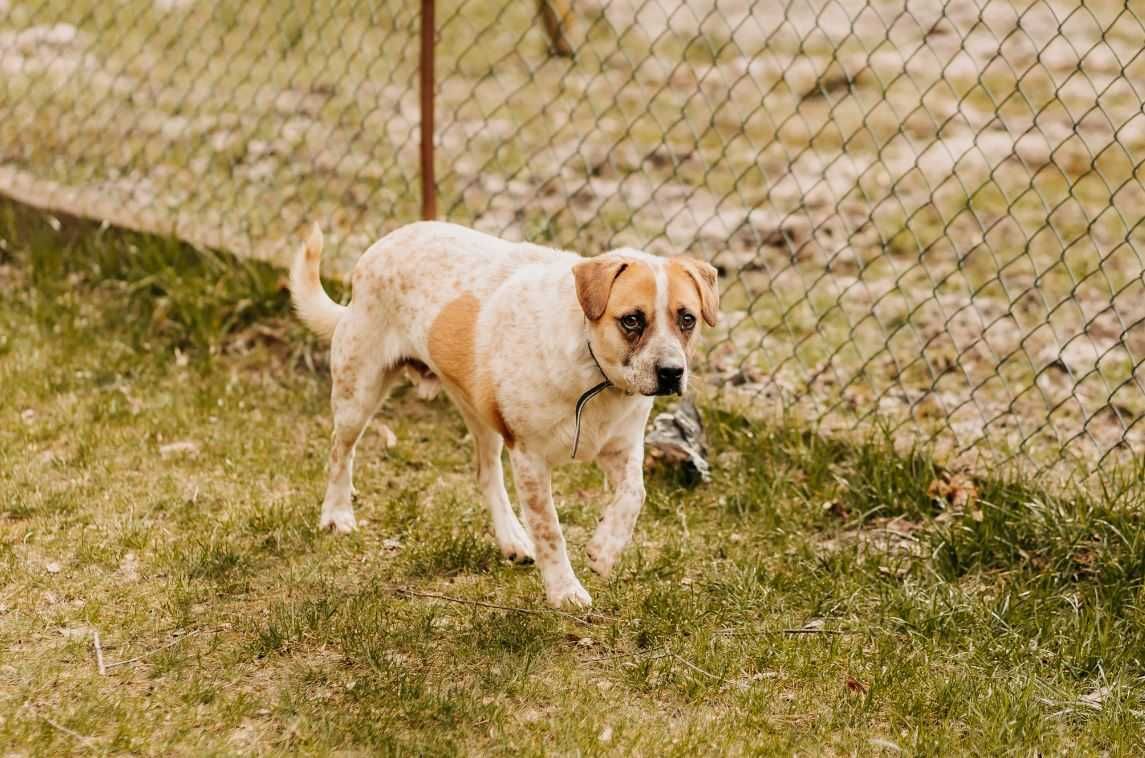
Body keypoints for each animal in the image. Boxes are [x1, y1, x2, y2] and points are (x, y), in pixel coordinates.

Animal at [286, 220, 714, 613]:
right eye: (632, 320)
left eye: (687, 319)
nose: (672, 373)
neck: (595, 377)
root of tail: (383, 243)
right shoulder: (530, 458)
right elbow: (550, 530)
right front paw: (564, 590)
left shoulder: (621, 450)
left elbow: (635, 495)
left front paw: (604, 551)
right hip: (358, 392)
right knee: (340, 451)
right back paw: (337, 514)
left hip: (480, 415)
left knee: (486, 472)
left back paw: (512, 539)